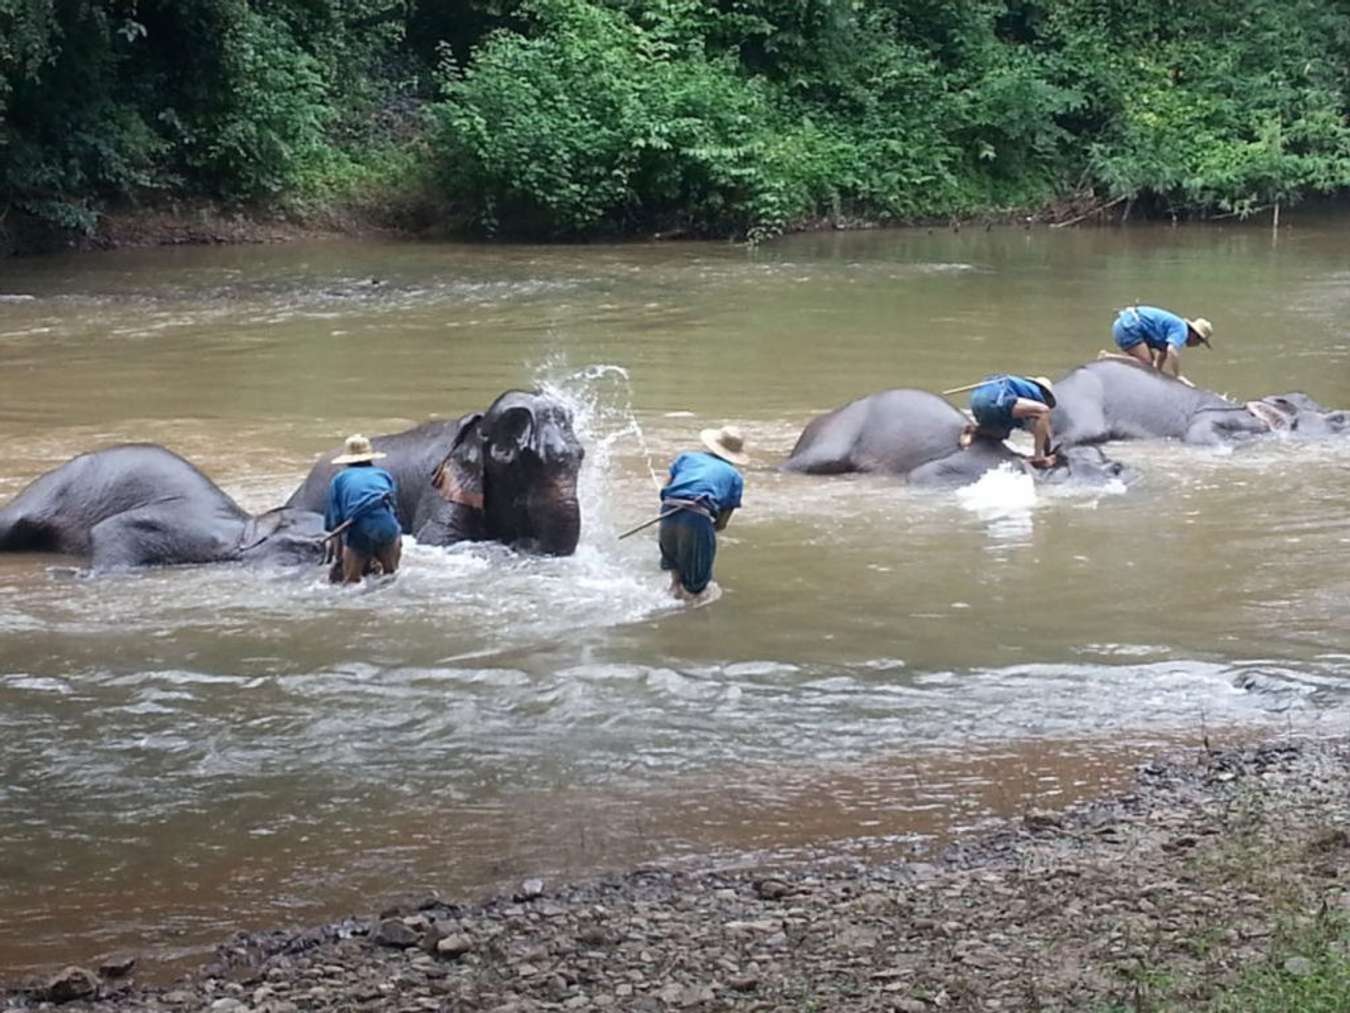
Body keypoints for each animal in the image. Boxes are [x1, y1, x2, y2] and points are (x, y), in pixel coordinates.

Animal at [287, 391, 583, 564]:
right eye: (515, 460)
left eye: (581, 455)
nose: (525, 545)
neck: (475, 429)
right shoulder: (440, 487)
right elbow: (438, 539)